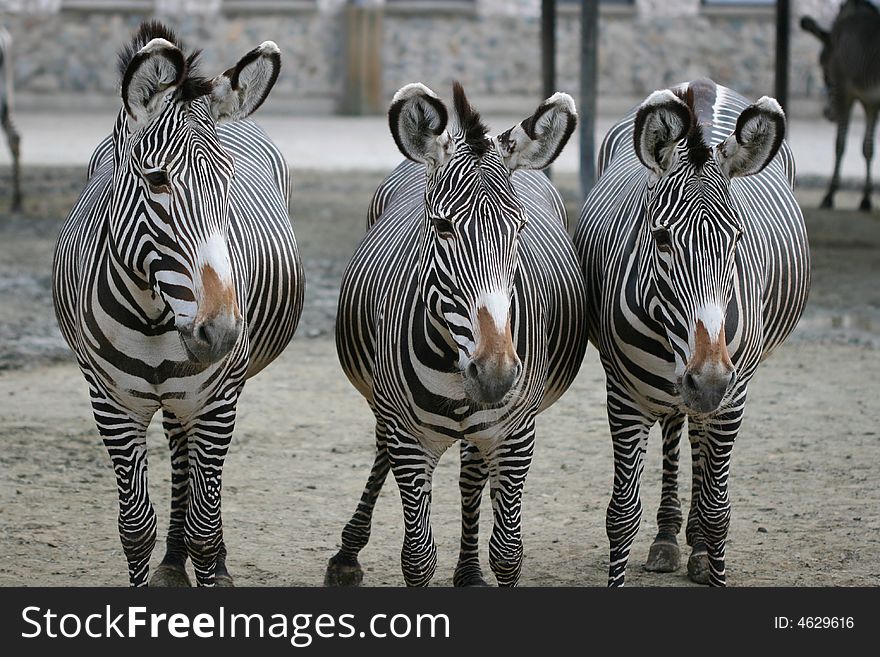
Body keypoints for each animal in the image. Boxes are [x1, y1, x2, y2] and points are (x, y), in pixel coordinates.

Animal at [53, 20, 306, 588]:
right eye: (156, 181)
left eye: (229, 182)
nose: (223, 333)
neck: (152, 316)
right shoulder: (111, 405)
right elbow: (134, 528)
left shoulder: (217, 400)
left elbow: (204, 529)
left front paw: (212, 564)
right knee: (179, 455)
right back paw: (171, 562)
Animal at [326, 83, 588, 588]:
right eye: (442, 226)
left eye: (519, 228)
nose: (495, 373)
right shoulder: (409, 440)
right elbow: (417, 556)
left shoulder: (516, 438)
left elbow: (508, 554)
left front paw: (483, 565)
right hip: (386, 407)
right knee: (382, 449)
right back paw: (347, 555)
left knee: (470, 474)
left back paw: (467, 570)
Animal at [576, 79, 812, 588]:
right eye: (661, 238)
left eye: (738, 237)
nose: (707, 379)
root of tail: (701, 85)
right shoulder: (623, 395)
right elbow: (620, 513)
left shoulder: (732, 395)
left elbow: (720, 508)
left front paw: (710, 546)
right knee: (676, 427)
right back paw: (668, 538)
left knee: (699, 441)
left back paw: (699, 547)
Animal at [800, 0, 876, 210]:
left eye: (822, 63)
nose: (827, 114)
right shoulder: (870, 101)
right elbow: (868, 148)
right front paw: (866, 198)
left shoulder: (845, 92)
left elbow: (840, 144)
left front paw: (829, 195)